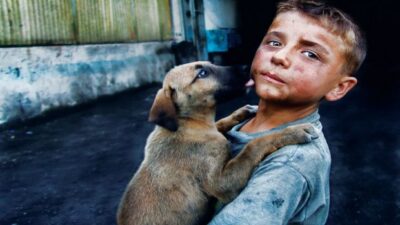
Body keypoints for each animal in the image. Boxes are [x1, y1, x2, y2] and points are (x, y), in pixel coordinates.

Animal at [116, 61, 316, 225]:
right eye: (202, 73)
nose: (246, 66)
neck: (187, 123)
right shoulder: (221, 183)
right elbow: (253, 146)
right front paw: (291, 132)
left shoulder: (212, 128)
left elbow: (220, 123)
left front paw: (242, 111)